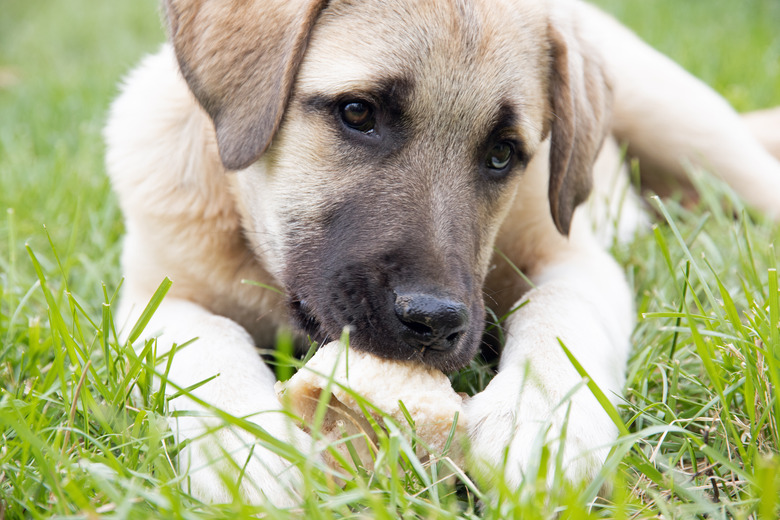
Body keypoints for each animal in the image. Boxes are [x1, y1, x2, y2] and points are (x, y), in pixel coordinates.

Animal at [103, 0, 780, 506]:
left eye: (503, 153)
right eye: (358, 113)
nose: (433, 322)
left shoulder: (574, 258)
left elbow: (561, 318)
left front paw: (542, 427)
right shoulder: (155, 297)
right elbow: (207, 344)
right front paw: (246, 450)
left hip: (687, 122)